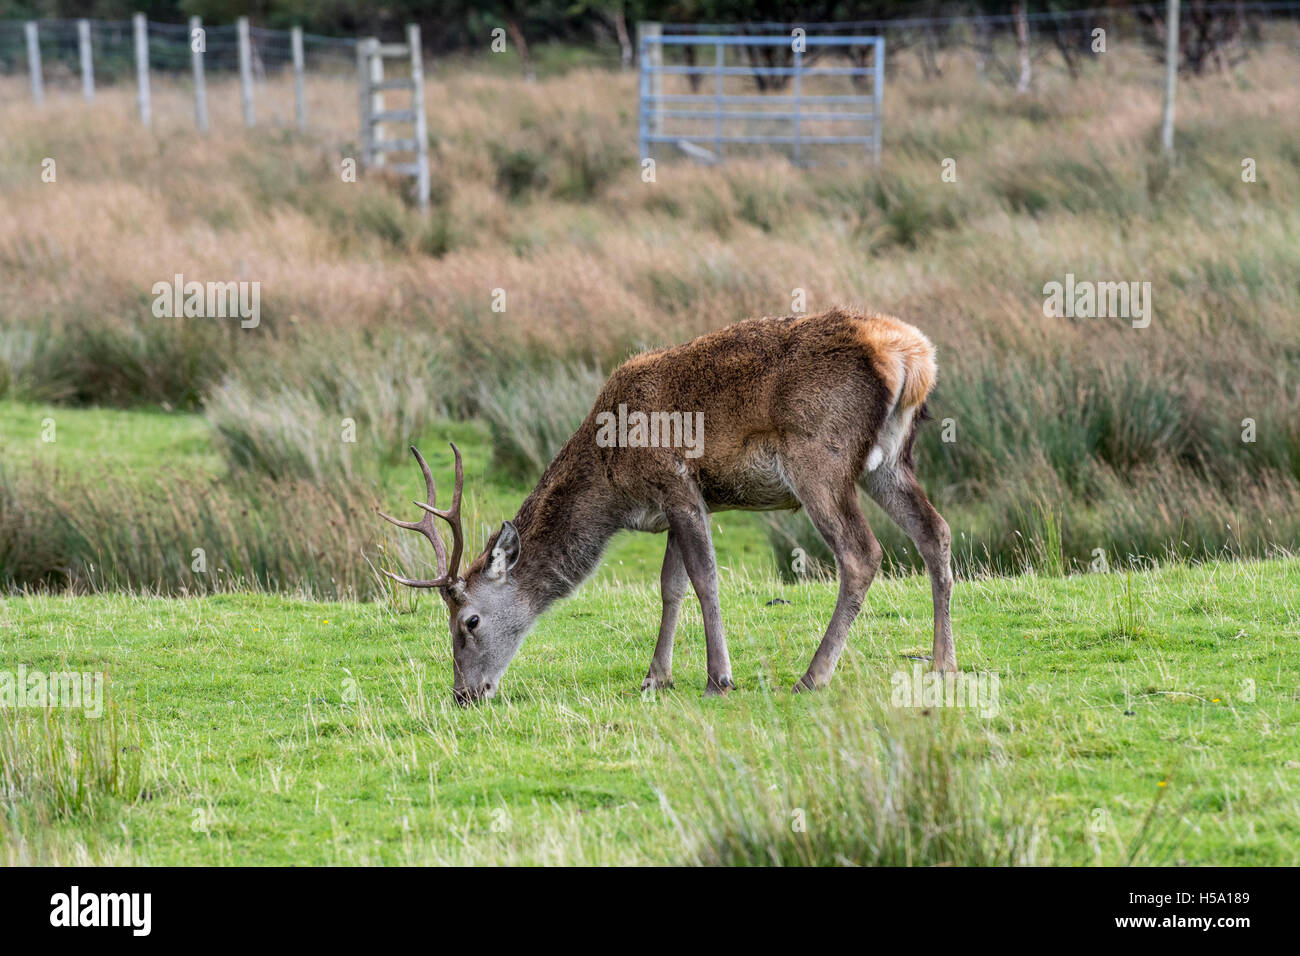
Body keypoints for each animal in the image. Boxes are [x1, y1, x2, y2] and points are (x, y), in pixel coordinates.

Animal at [378, 308, 954, 703]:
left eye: (469, 621)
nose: (463, 694)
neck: (614, 480)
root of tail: (914, 357)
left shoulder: (677, 483)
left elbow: (705, 578)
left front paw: (719, 678)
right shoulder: (676, 505)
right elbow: (670, 585)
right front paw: (656, 676)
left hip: (818, 457)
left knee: (863, 554)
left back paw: (812, 676)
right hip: (890, 461)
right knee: (936, 532)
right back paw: (943, 663)